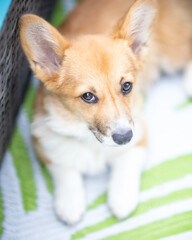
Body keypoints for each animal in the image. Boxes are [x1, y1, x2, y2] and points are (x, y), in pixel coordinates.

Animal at [19, 0, 192, 225]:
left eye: (127, 86)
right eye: (87, 96)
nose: (124, 137)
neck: (91, 139)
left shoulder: (139, 137)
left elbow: (125, 166)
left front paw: (121, 199)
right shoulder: (44, 144)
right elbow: (65, 171)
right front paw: (69, 204)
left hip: (172, 49)